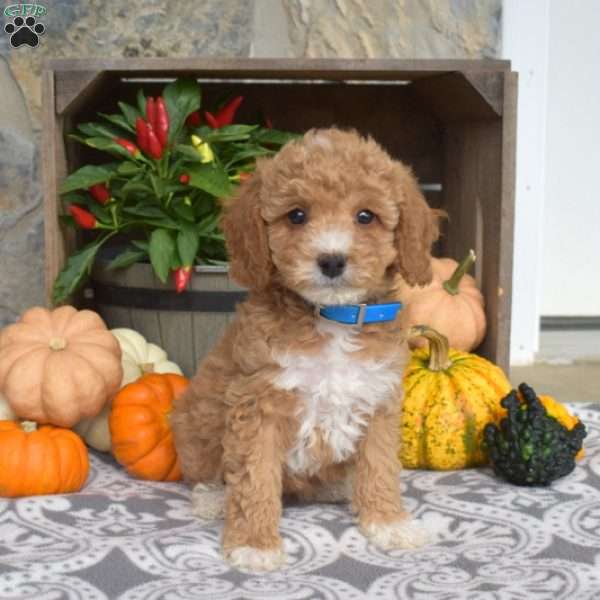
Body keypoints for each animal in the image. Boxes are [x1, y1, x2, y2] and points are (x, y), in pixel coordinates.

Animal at [171, 127, 438, 572]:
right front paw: (255, 544)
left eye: (366, 216)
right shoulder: (258, 404)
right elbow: (254, 479)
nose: (331, 260)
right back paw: (213, 499)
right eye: (296, 215)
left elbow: (380, 466)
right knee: (205, 471)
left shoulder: (378, 400)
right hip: (197, 418)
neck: (332, 317)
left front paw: (388, 522)